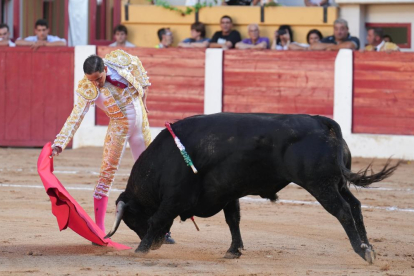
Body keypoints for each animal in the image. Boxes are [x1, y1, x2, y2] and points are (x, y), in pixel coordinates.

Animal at [105, 113, 400, 264]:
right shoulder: (226, 193)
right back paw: (369, 246)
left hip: (320, 184)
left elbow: (157, 218)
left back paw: (362, 250)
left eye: (132, 219)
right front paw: (233, 250)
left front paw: (140, 249)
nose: (156, 245)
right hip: (337, 182)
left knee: (342, 211)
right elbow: (233, 220)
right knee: (356, 206)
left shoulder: (174, 197)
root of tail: (322, 121)